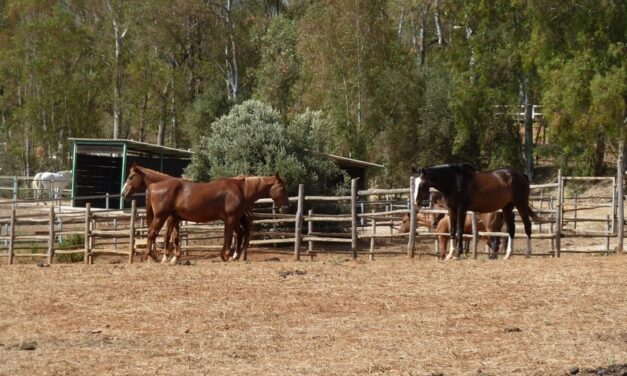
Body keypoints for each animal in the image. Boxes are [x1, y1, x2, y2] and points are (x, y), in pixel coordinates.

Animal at [412, 164, 540, 262]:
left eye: (422, 184)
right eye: (414, 183)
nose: (416, 202)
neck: (454, 182)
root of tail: (522, 175)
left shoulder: (461, 209)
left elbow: (460, 230)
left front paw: (458, 254)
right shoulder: (452, 210)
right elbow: (453, 230)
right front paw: (450, 255)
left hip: (520, 204)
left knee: (527, 226)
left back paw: (528, 253)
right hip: (507, 207)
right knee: (511, 229)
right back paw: (507, 255)